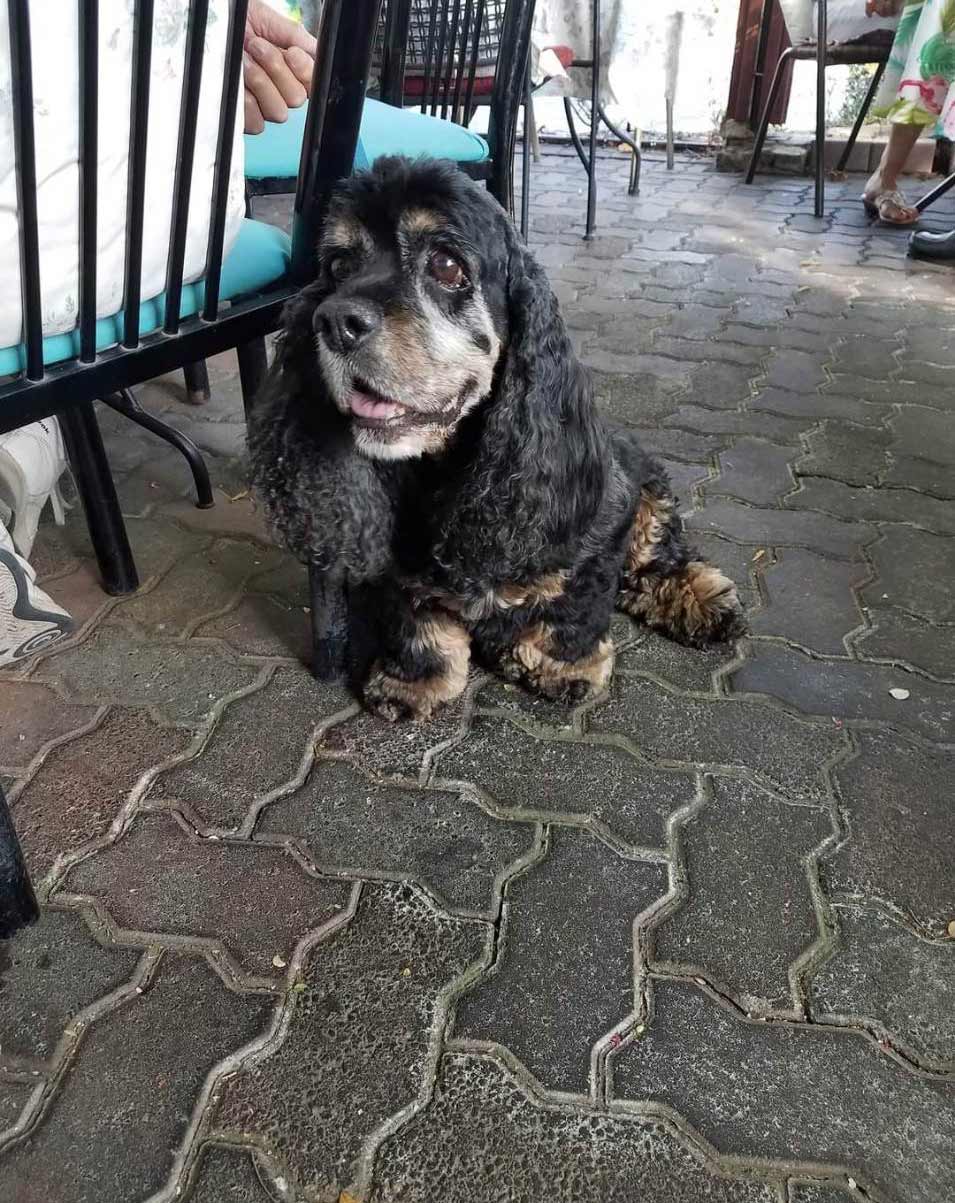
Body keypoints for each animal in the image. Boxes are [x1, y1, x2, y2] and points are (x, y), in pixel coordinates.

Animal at [247, 155, 745, 716]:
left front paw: (560, 666)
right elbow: (414, 618)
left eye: (446, 266)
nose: (333, 321)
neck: (449, 472)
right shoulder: (399, 565)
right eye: (337, 267)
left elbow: (573, 605)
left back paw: (704, 602)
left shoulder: (598, 526)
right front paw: (412, 681)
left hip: (650, 491)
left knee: (660, 558)